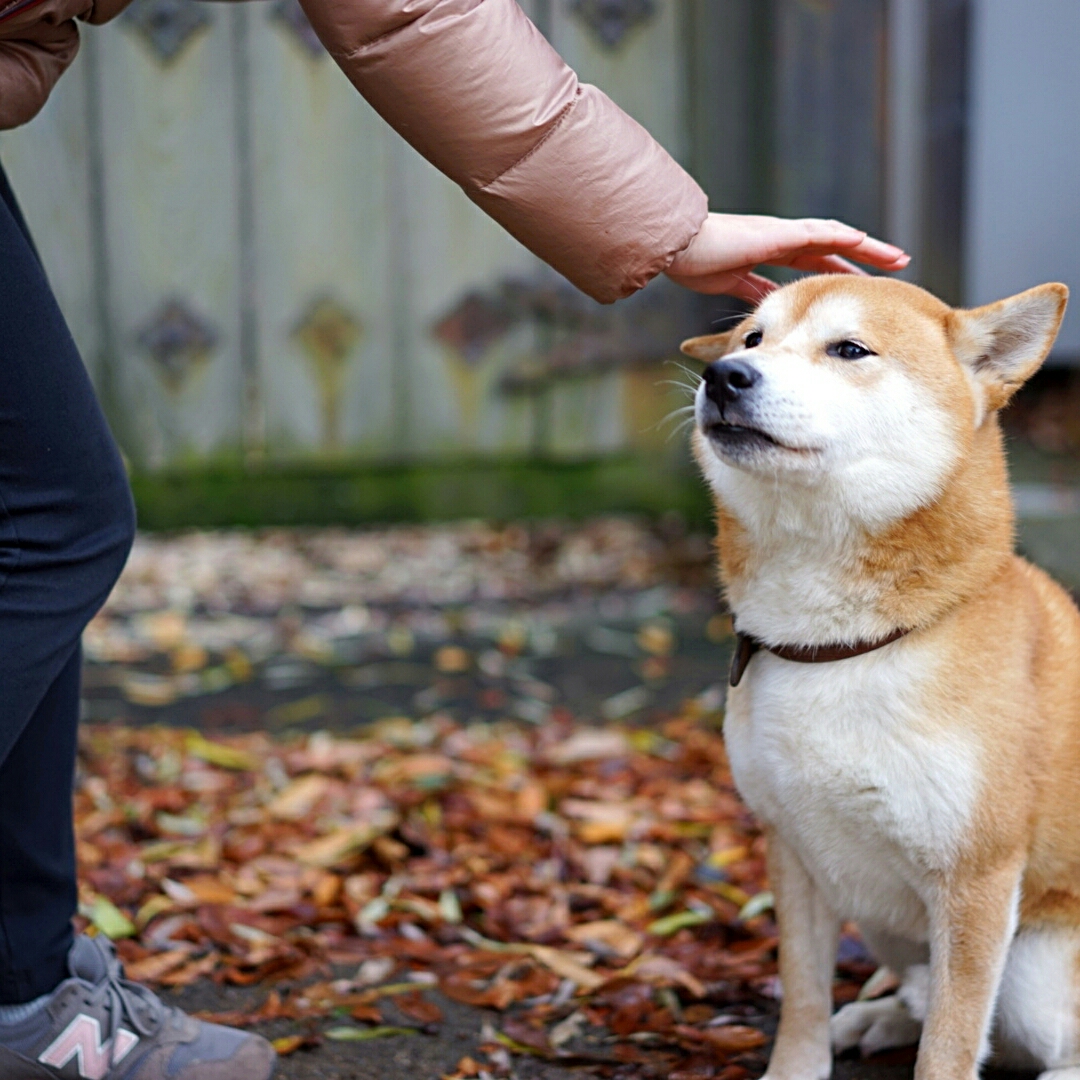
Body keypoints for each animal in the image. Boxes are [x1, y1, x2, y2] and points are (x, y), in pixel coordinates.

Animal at [682, 276, 1080, 1080]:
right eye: (752, 339)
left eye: (849, 349)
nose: (724, 375)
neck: (842, 648)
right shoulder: (793, 848)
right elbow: (803, 996)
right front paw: (797, 1067)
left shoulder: (976, 881)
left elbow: (952, 1044)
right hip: (887, 924)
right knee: (920, 991)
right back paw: (879, 1015)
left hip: (1035, 972)